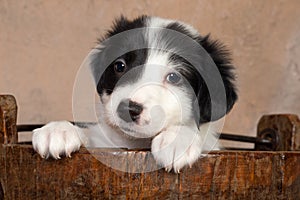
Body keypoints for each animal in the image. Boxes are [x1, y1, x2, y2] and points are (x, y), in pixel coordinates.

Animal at [31, 15, 237, 173]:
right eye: (120, 66)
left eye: (174, 77)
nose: (127, 109)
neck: (136, 144)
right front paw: (59, 130)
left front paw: (177, 140)